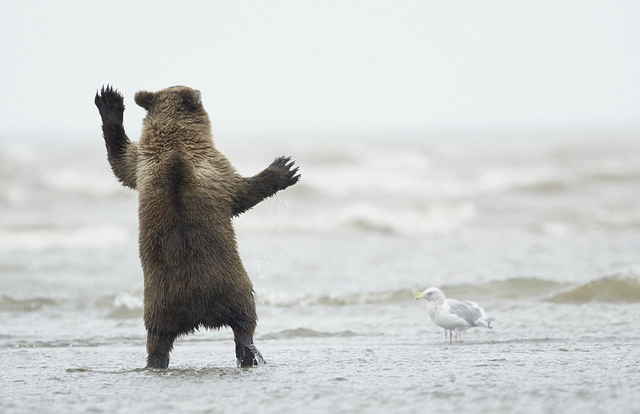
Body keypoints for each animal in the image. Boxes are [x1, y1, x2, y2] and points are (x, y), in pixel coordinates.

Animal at [95, 84, 300, 368]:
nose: (198, 90)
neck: (175, 143)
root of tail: (197, 311)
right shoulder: (215, 167)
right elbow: (243, 193)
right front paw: (285, 168)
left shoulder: (142, 165)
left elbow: (121, 161)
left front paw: (109, 100)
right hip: (232, 286)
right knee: (245, 322)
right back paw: (251, 354)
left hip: (159, 304)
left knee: (157, 339)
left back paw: (155, 361)